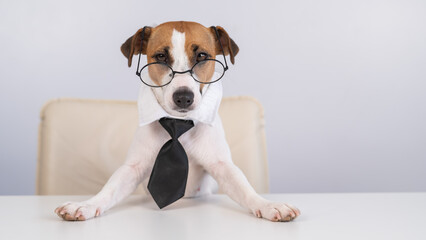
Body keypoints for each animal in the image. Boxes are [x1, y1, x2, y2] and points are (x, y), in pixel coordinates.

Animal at [54, 21, 300, 222]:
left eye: (202, 56)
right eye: (161, 57)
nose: (183, 97)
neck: (179, 123)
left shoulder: (222, 166)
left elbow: (244, 188)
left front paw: (268, 205)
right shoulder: (134, 167)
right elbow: (111, 188)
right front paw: (86, 205)